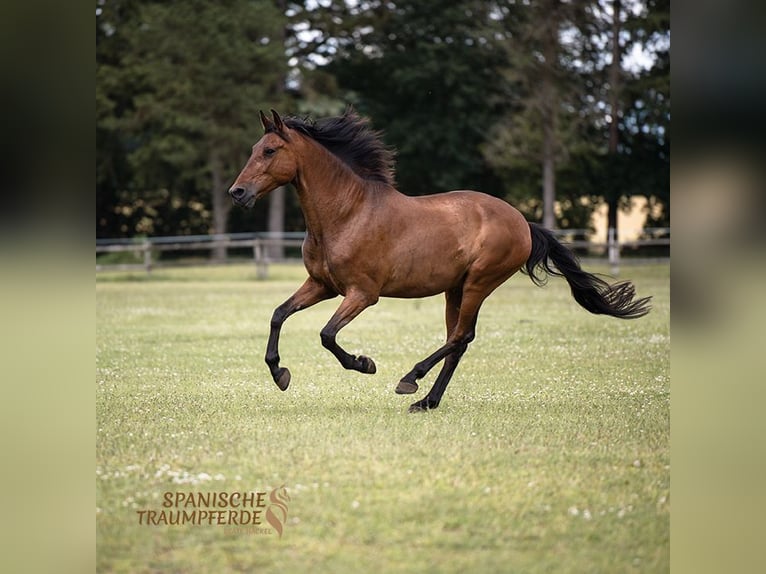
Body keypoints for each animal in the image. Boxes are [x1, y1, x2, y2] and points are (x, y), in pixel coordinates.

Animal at [226, 109, 648, 414]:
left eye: (269, 151)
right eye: (253, 148)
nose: (237, 192)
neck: (347, 214)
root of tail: (522, 222)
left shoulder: (362, 294)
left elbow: (327, 335)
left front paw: (365, 363)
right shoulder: (322, 286)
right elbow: (279, 314)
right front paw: (280, 373)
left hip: (479, 283)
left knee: (460, 336)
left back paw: (410, 379)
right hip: (455, 289)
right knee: (457, 341)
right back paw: (426, 400)